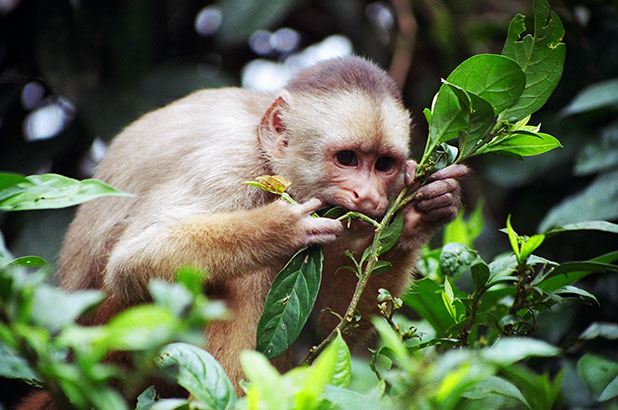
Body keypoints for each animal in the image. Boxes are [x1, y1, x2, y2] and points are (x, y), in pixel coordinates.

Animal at [18, 56, 466, 408]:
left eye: (383, 165)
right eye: (347, 159)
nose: (368, 195)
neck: (266, 150)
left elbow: (332, 330)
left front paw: (420, 214)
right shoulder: (231, 164)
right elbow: (132, 261)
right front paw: (277, 229)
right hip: (115, 343)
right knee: (238, 280)